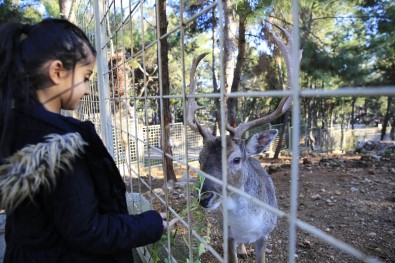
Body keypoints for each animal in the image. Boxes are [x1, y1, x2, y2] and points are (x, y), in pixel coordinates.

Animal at [187, 25, 302, 263]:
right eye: (200, 159)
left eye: (236, 159)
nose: (205, 197)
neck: (246, 226)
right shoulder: (228, 235)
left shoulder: (265, 235)